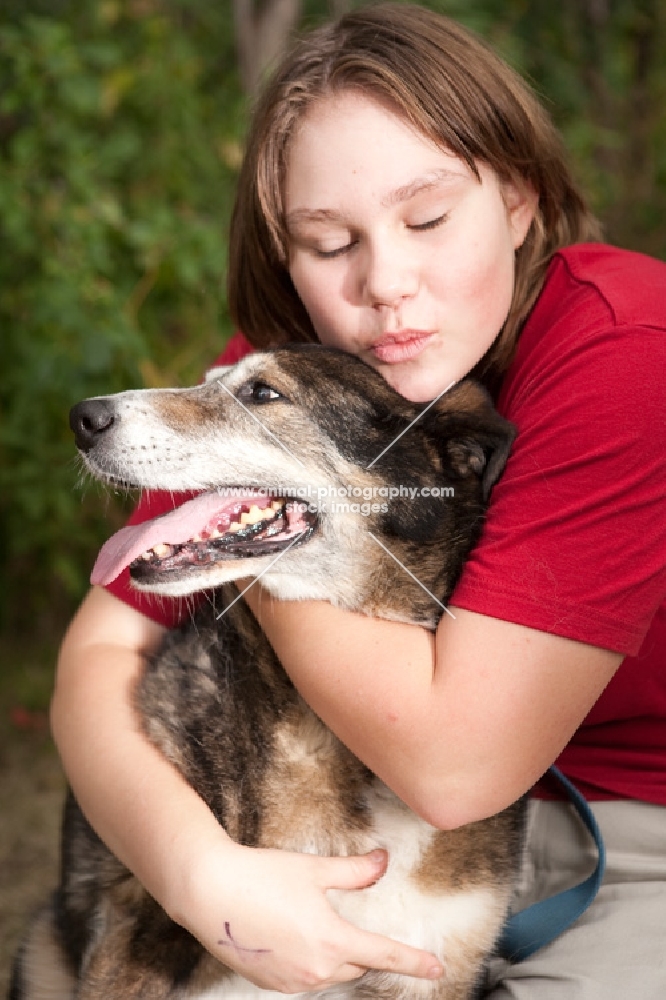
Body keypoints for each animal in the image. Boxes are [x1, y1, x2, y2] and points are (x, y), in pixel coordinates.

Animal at [7, 346, 520, 1000]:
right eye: (207, 381)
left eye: (263, 393)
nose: (83, 418)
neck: (342, 745)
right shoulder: (130, 942)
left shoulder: (432, 965)